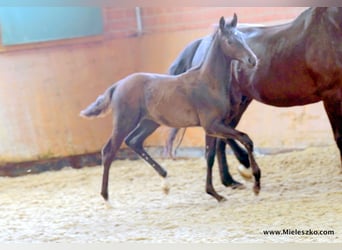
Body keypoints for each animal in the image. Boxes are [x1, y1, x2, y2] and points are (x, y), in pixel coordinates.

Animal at [164, 6, 340, 187]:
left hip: (241, 102)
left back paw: (230, 180)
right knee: (220, 134)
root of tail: (203, 42)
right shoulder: (331, 95)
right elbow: (339, 137)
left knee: (222, 136)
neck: (332, 26)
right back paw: (240, 166)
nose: (253, 60)